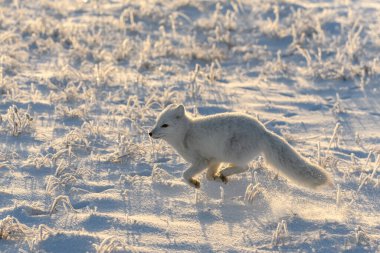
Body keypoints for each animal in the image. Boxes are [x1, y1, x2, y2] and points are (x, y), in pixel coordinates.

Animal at [148, 103, 332, 190]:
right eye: (157, 122)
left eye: (165, 125)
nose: (150, 133)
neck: (186, 133)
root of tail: (263, 131)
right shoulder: (214, 159)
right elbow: (208, 175)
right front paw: (214, 178)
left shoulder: (202, 160)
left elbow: (185, 175)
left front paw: (195, 183)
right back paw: (223, 175)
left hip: (233, 153)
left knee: (245, 167)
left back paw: (225, 173)